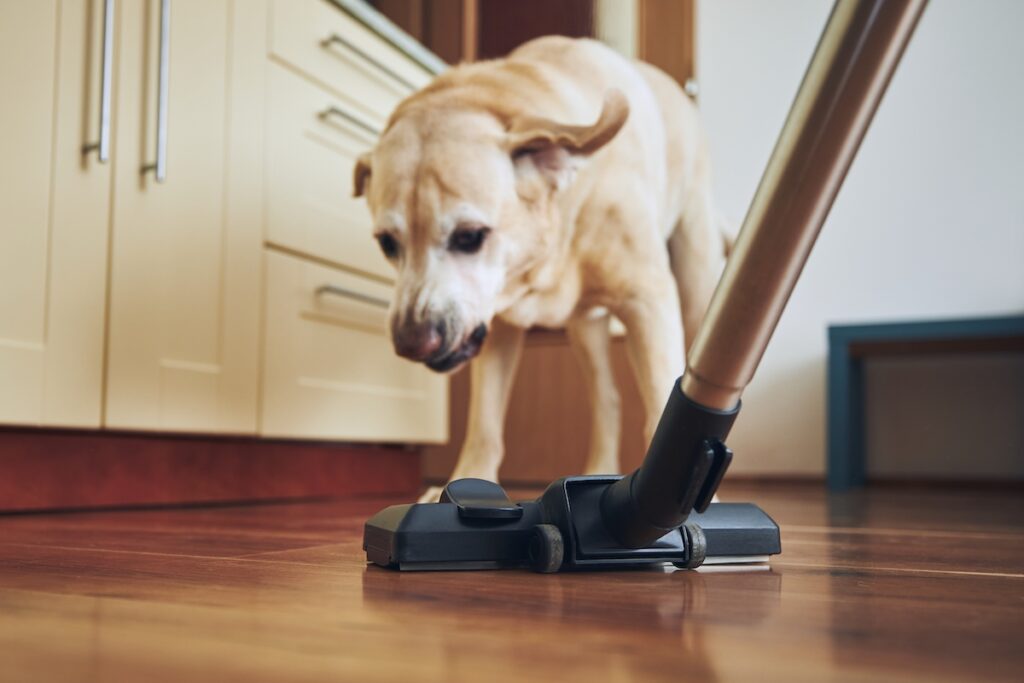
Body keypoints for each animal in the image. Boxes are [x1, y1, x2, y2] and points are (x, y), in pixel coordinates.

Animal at [352, 36, 729, 501]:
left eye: (469, 236)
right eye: (387, 243)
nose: (411, 343)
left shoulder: (649, 301)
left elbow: (664, 400)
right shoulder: (497, 329)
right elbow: (485, 424)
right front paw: (466, 481)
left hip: (695, 286)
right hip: (584, 328)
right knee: (607, 399)